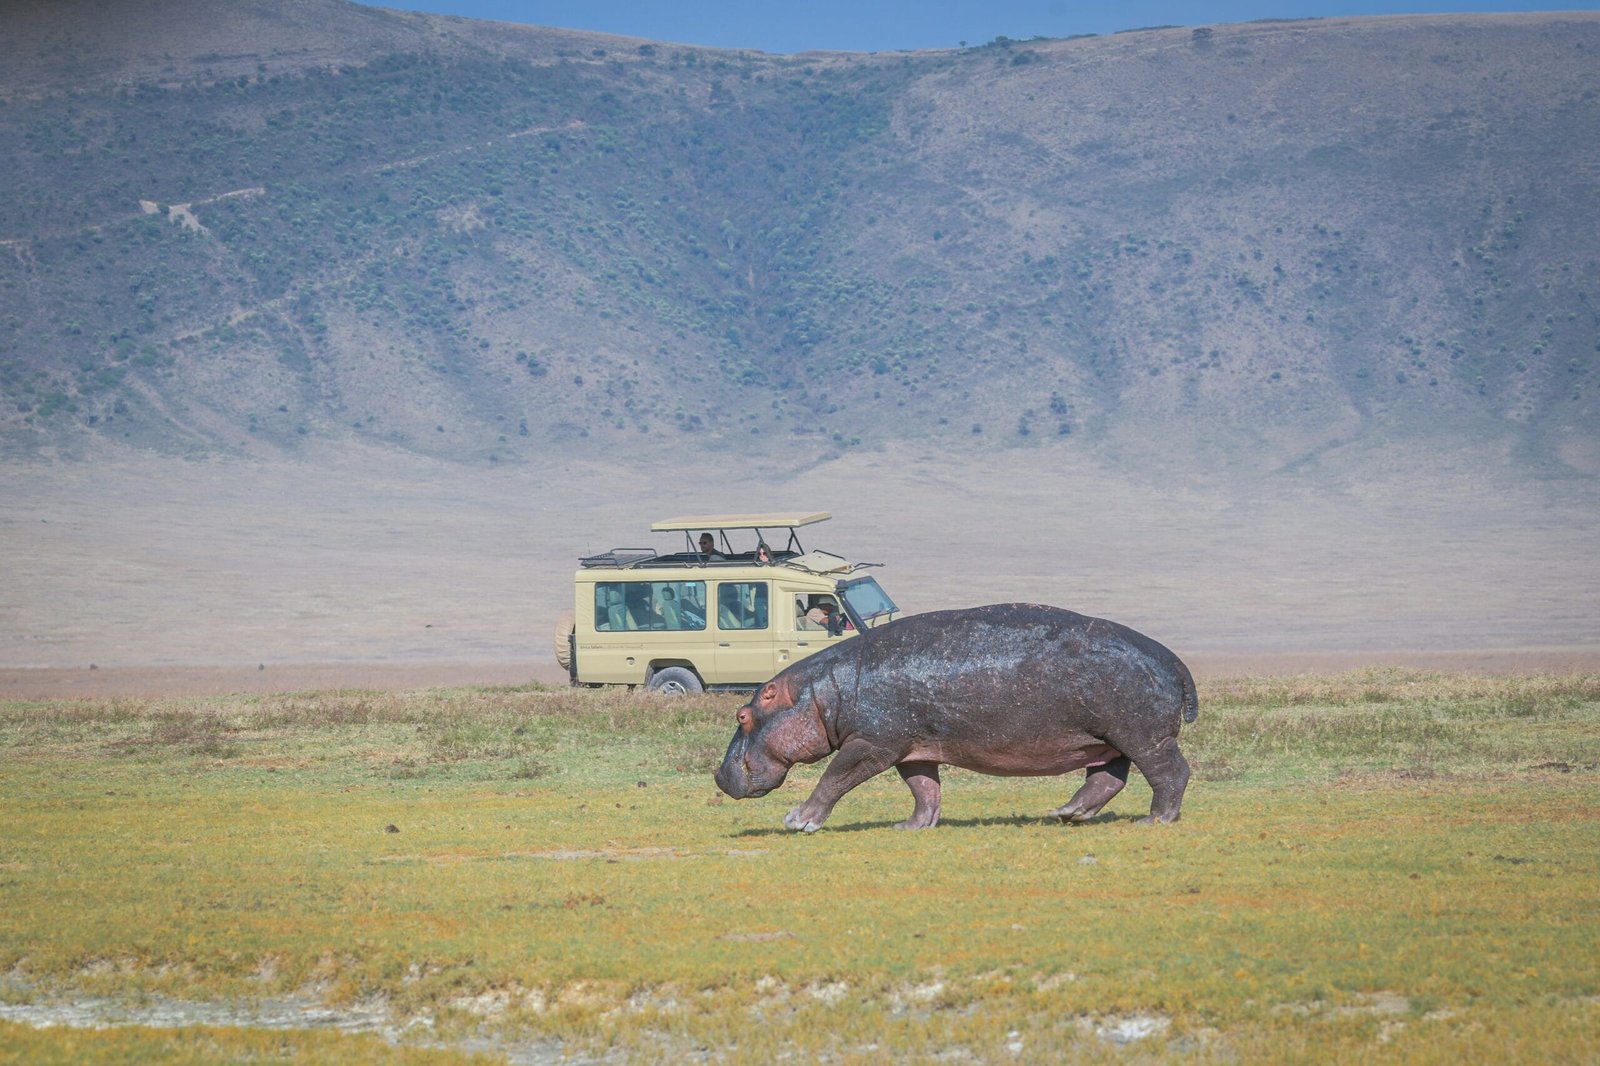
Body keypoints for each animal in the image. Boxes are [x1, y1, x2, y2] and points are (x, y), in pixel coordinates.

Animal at [714, 604, 1198, 831]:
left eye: (742, 714)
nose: (718, 776)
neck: (822, 692)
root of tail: (1175, 660)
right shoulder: (913, 748)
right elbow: (923, 788)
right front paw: (909, 826)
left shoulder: (872, 743)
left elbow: (836, 776)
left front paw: (799, 820)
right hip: (1109, 739)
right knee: (1107, 777)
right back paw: (1067, 813)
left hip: (1141, 735)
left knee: (1170, 772)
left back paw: (1154, 820)